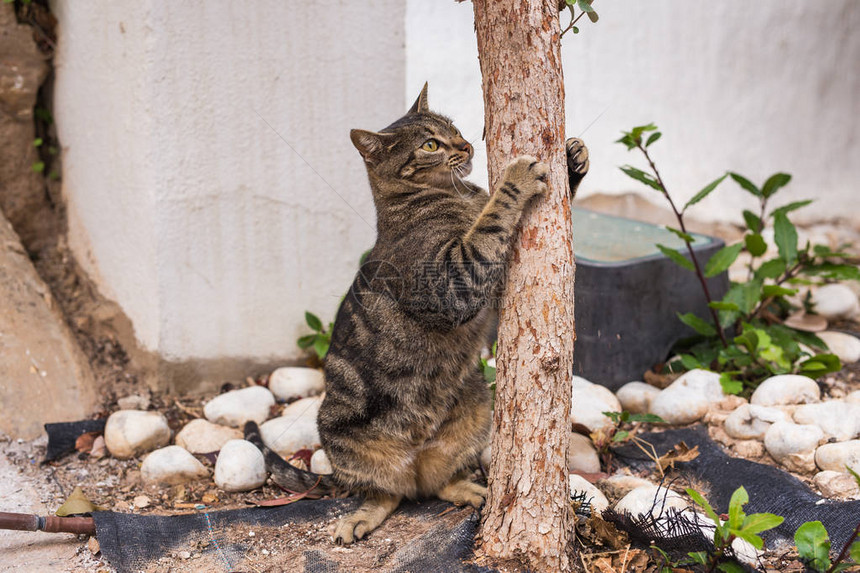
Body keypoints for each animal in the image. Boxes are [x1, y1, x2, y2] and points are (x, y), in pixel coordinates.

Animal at [245, 84, 588, 540]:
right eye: (430, 145)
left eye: (454, 129)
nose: (466, 145)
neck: (451, 195)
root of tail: (416, 462)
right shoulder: (453, 281)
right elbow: (491, 220)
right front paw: (515, 178)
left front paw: (573, 159)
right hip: (343, 439)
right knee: (384, 493)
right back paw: (361, 517)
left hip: (475, 406)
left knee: (438, 482)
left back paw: (468, 490)